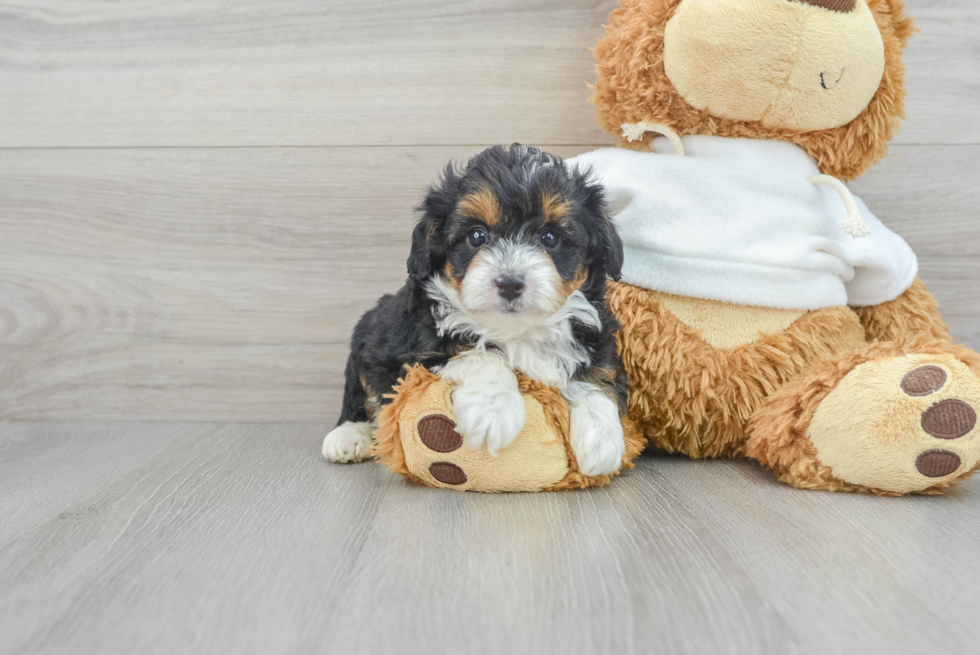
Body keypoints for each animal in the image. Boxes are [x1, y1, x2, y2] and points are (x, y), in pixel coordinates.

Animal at [322, 144, 628, 474]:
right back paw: (349, 436)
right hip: (367, 339)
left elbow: (599, 371)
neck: (516, 330)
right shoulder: (415, 347)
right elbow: (478, 352)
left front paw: (602, 438)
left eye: (550, 237)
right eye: (476, 236)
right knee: (360, 393)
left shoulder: (594, 328)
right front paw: (493, 410)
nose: (510, 283)